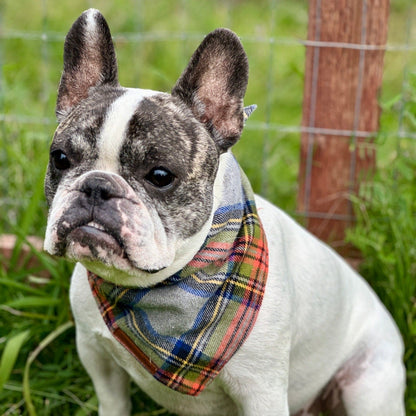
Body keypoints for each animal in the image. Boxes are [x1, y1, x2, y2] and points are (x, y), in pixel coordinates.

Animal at [44, 9, 404, 416]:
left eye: (160, 176)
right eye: (60, 158)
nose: (97, 186)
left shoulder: (261, 390)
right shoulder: (96, 354)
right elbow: (114, 401)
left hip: (368, 383)